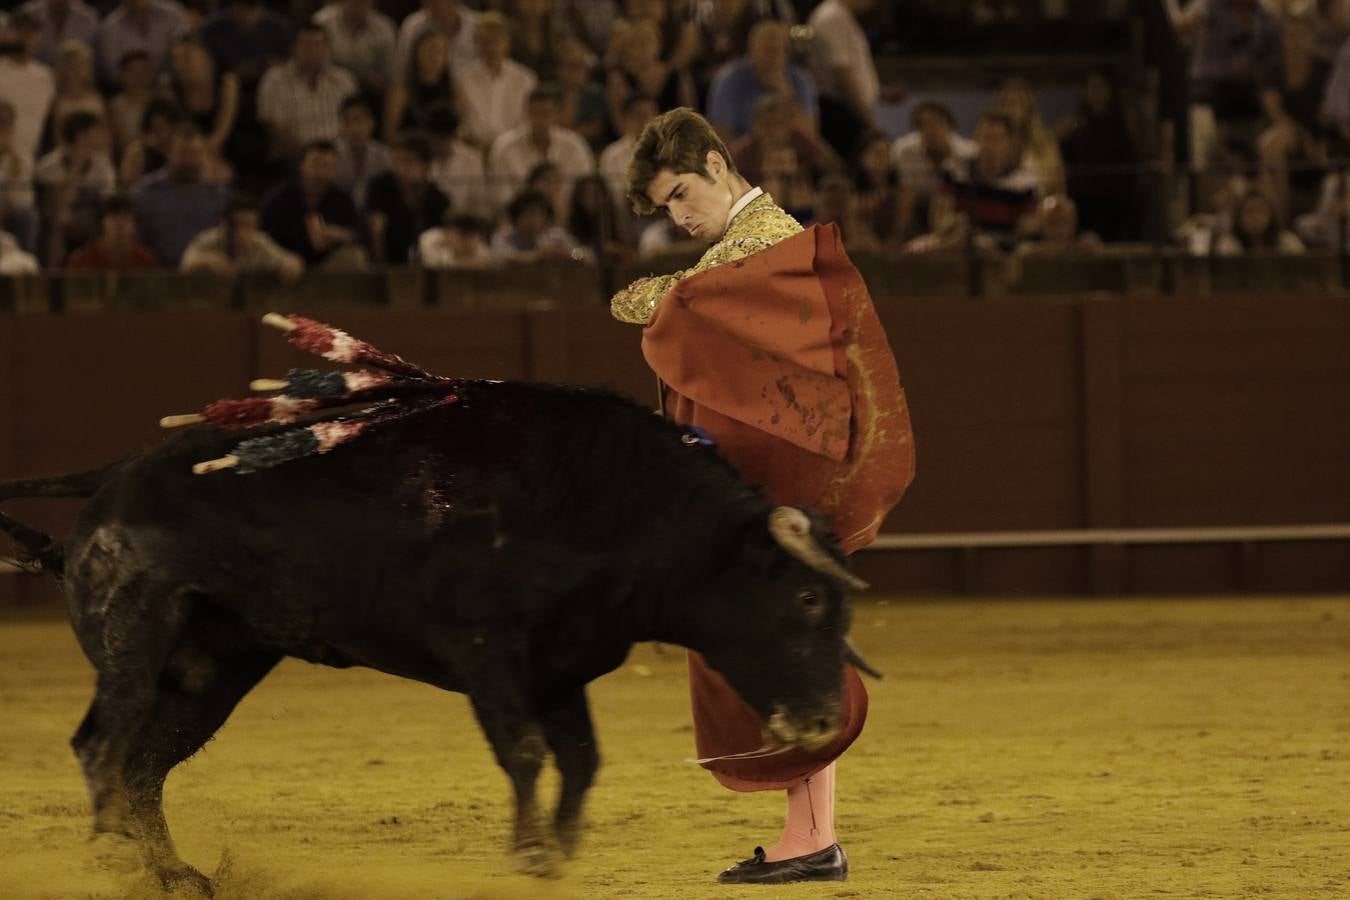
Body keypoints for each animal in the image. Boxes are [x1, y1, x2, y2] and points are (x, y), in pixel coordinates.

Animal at [0, 383, 869, 895]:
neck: (613, 503)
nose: (824, 719)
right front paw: (529, 853)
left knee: (144, 765)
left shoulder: (559, 666)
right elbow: (526, 749)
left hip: (216, 667)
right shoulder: (486, 648)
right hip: (138, 632)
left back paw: (174, 875)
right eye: (803, 597)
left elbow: (580, 758)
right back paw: (111, 857)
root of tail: (115, 477)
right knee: (102, 743)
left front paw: (556, 852)